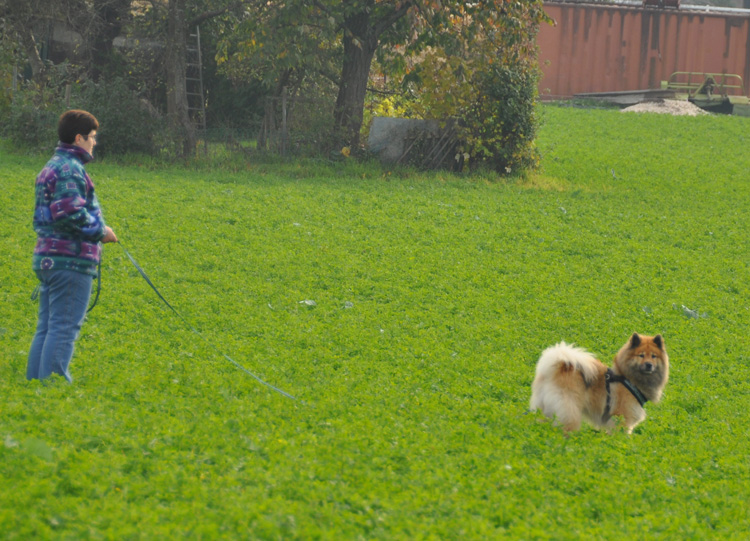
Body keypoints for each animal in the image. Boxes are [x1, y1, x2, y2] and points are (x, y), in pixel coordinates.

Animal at [532, 332, 672, 432]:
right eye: (641, 355)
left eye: (653, 356)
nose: (649, 365)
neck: (629, 380)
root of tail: (556, 368)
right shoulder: (622, 419)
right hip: (569, 410)